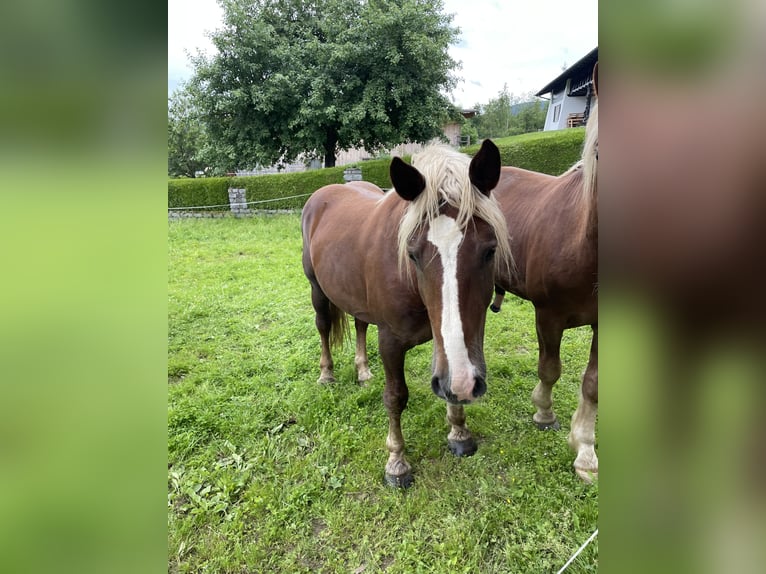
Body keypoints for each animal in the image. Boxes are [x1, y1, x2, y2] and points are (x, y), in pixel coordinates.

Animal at [304, 142, 512, 488]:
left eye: (490, 250)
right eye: (412, 254)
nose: (467, 384)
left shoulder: (447, 340)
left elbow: (449, 378)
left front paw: (459, 433)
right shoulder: (391, 340)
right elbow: (395, 397)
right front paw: (397, 462)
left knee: (360, 324)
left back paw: (363, 371)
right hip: (317, 290)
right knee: (322, 326)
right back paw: (326, 375)